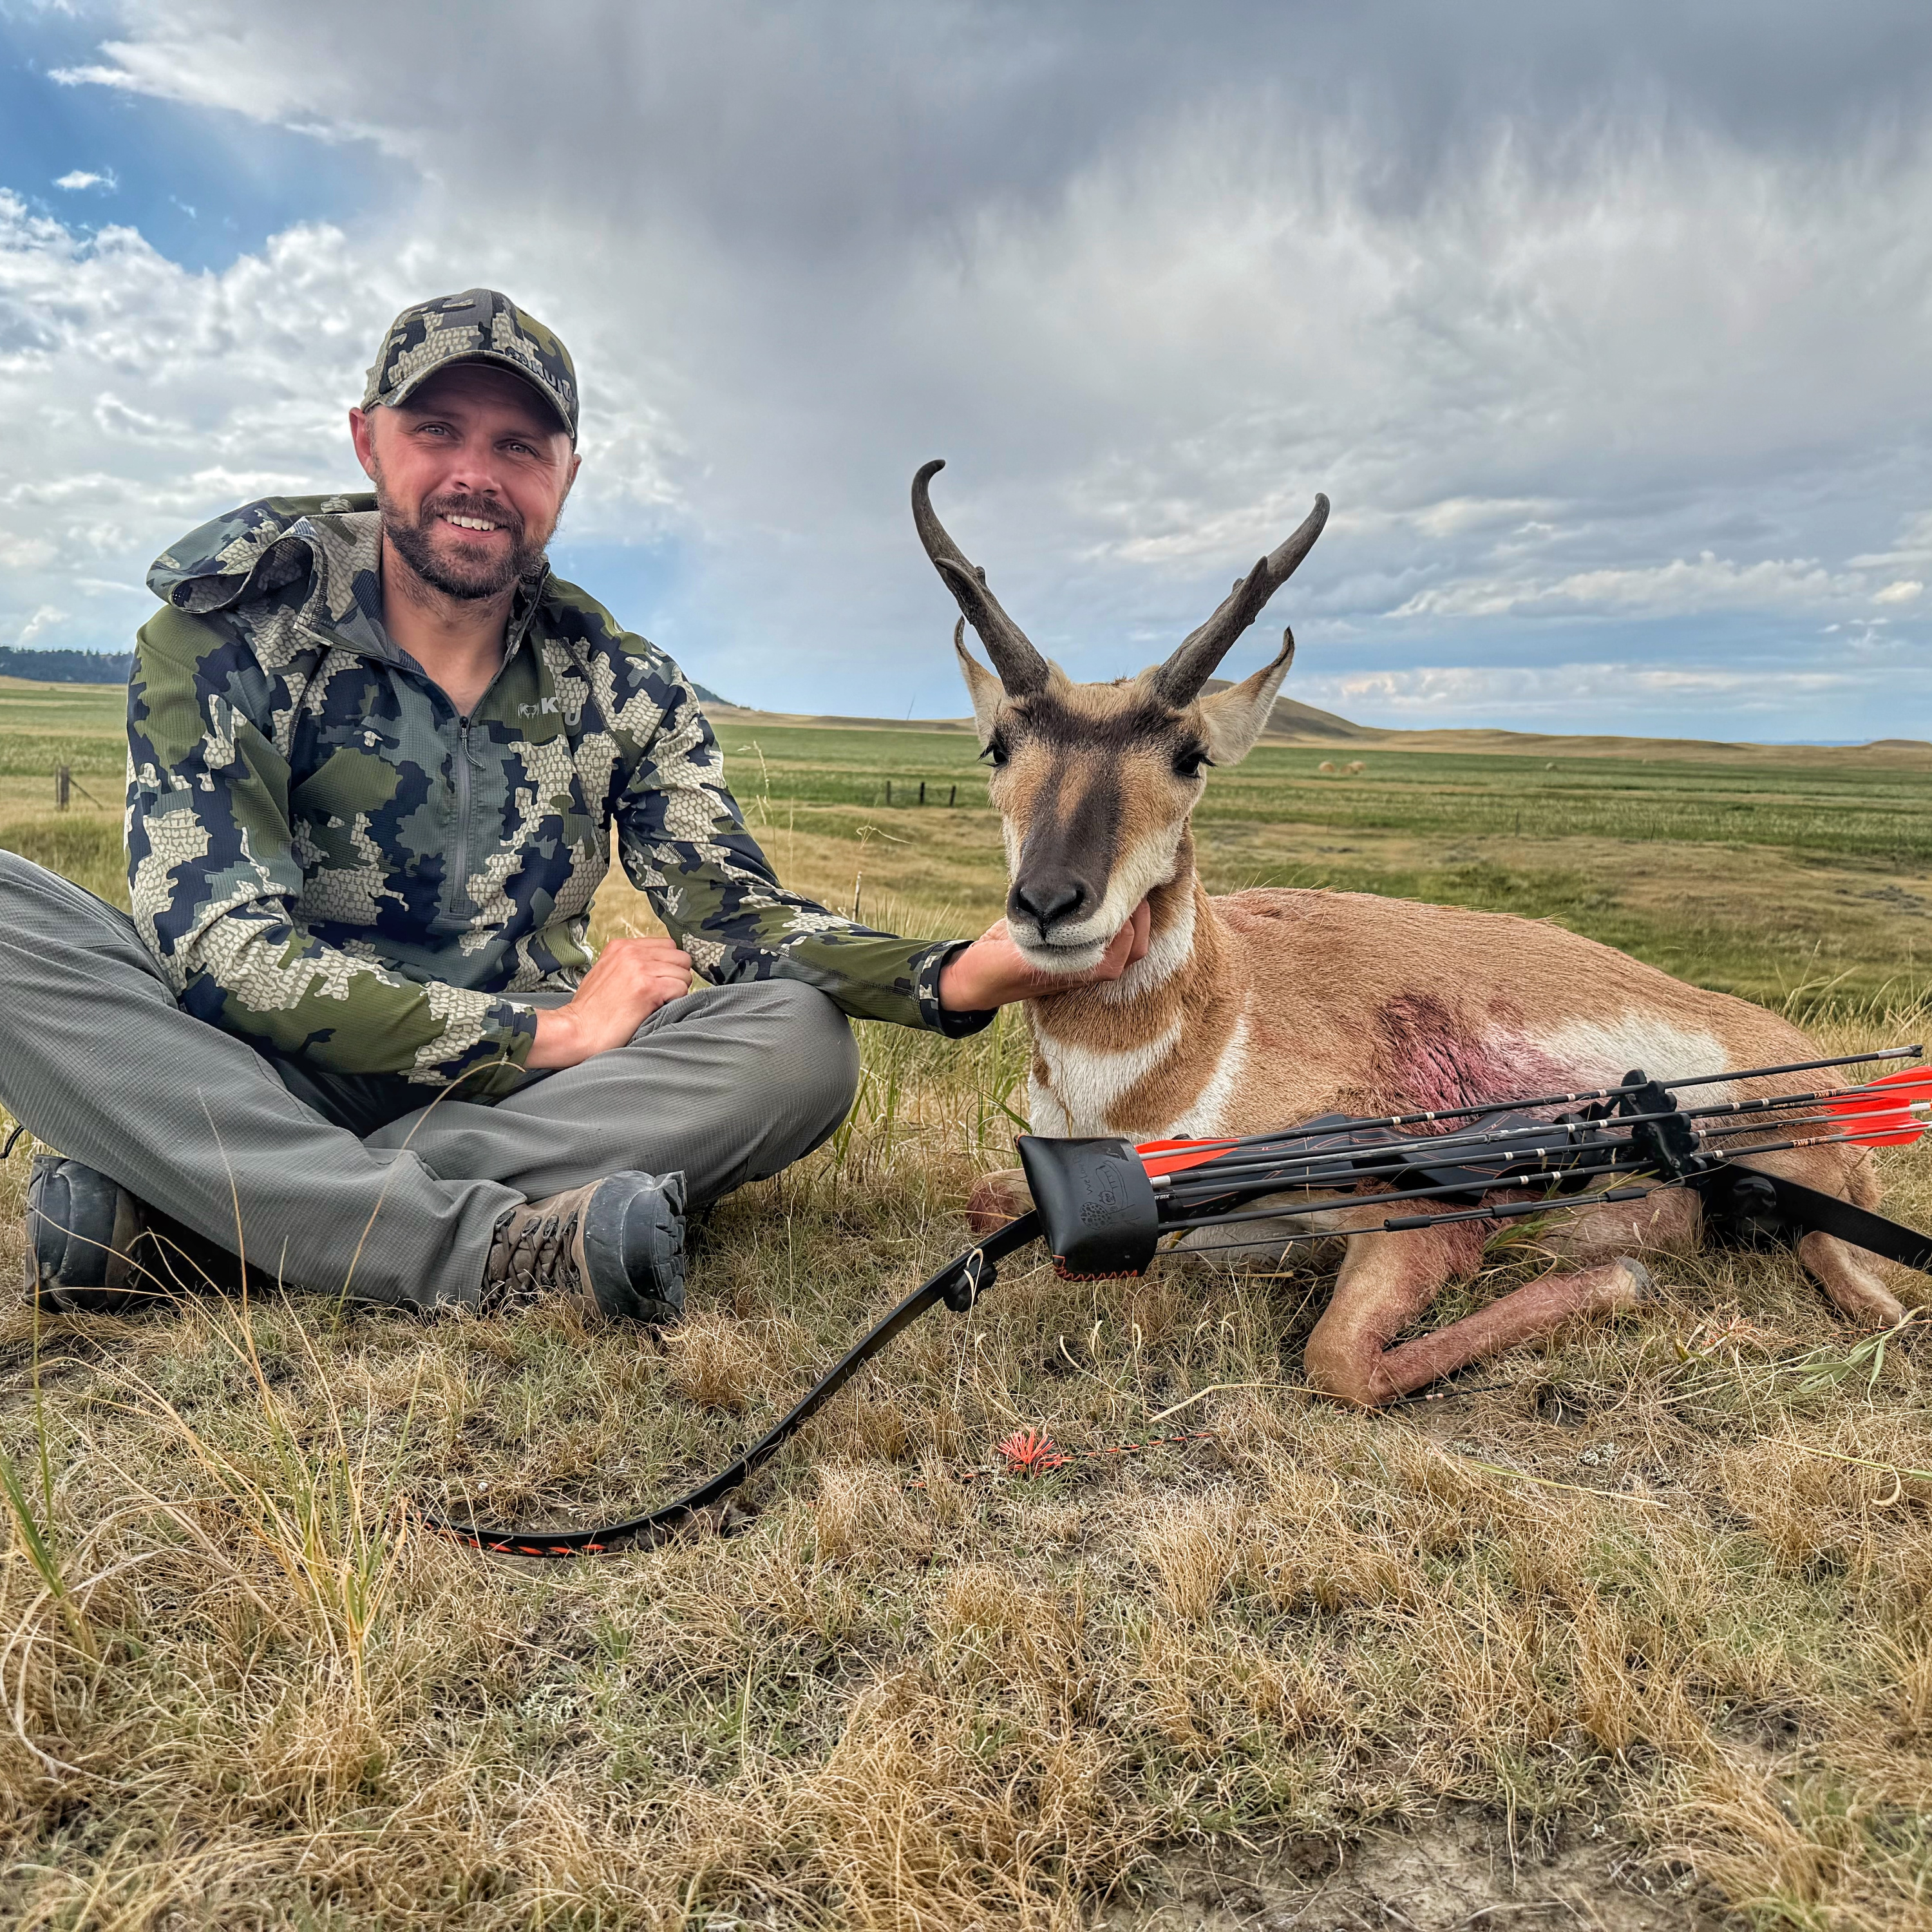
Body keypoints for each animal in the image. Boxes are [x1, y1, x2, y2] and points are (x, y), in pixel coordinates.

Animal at [913, 461, 1908, 1406]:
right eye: (998, 747)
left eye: (1190, 757)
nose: (1049, 903)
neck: (1212, 1028)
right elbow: (977, 1199)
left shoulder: (1414, 1214)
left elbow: (1339, 1363)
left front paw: (1619, 1275)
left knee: (1878, 1303)